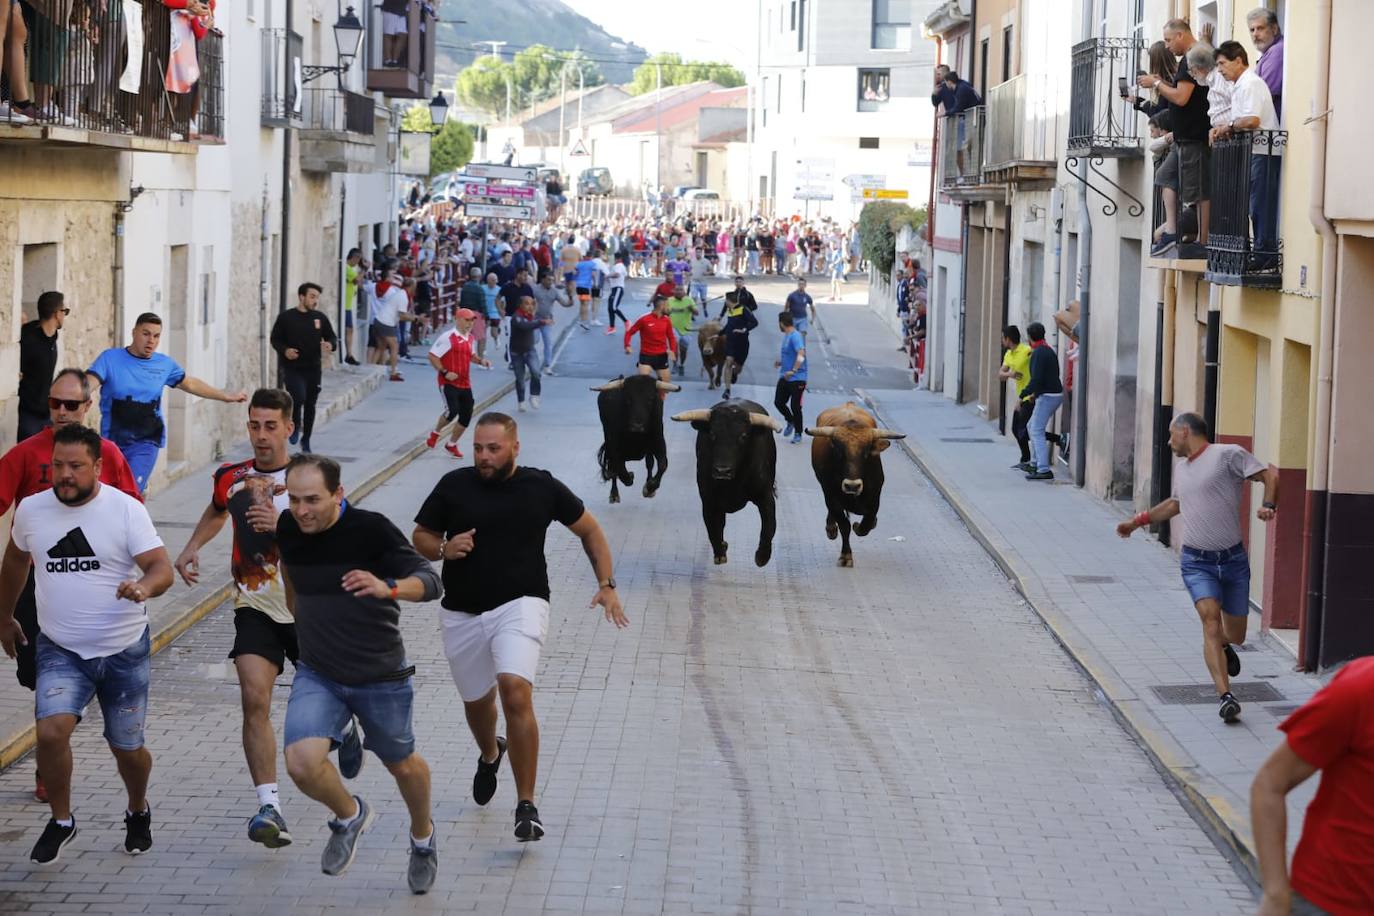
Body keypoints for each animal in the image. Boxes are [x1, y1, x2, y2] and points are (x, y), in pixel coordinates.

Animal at [590, 373, 681, 505]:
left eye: (650, 399)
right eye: (628, 399)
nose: (637, 426)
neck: (636, 437)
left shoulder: (659, 442)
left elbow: (662, 464)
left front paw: (650, 487)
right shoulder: (614, 446)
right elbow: (619, 469)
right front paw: (630, 477)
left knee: (649, 463)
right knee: (613, 468)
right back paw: (614, 494)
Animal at [673, 398, 785, 565]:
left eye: (743, 436)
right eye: (712, 434)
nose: (722, 471)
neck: (733, 483)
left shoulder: (765, 496)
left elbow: (769, 525)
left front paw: (762, 557)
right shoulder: (708, 500)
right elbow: (713, 528)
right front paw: (720, 552)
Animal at [802, 403, 906, 565]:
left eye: (867, 452)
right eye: (839, 451)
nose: (852, 486)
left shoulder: (875, 498)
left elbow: (867, 522)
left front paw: (861, 526)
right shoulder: (831, 496)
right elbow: (844, 526)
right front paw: (846, 555)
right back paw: (831, 528)